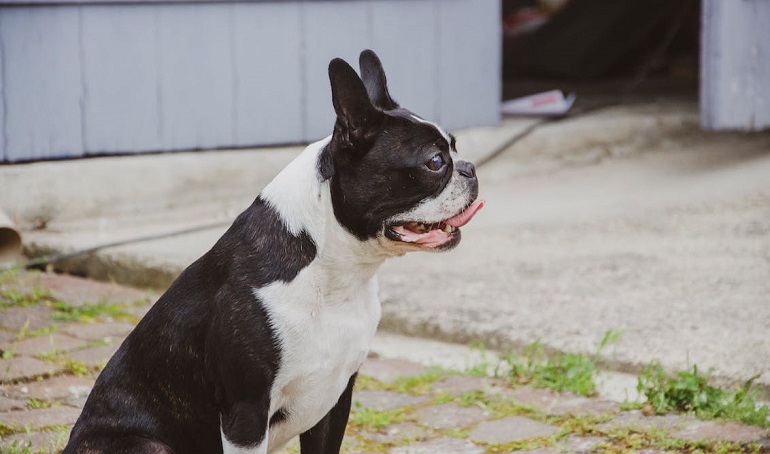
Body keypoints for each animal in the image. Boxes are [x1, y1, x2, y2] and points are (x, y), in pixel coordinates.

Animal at [67, 49, 486, 454]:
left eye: (455, 149)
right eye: (435, 162)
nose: (470, 168)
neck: (333, 271)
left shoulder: (334, 402)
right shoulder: (246, 414)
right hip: (149, 446)